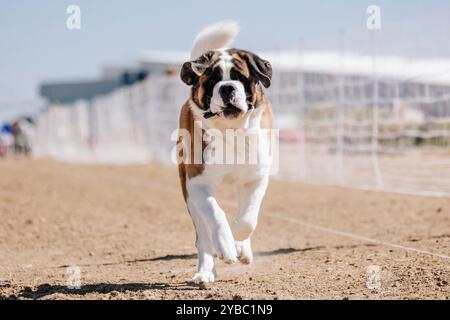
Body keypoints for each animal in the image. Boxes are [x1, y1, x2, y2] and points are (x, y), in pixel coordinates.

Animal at [178, 21, 272, 284]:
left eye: (241, 78)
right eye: (212, 81)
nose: (228, 87)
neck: (232, 131)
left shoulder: (256, 178)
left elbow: (249, 216)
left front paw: (238, 239)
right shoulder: (197, 183)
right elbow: (216, 213)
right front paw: (226, 246)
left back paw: (242, 248)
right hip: (188, 194)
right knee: (202, 234)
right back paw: (204, 271)